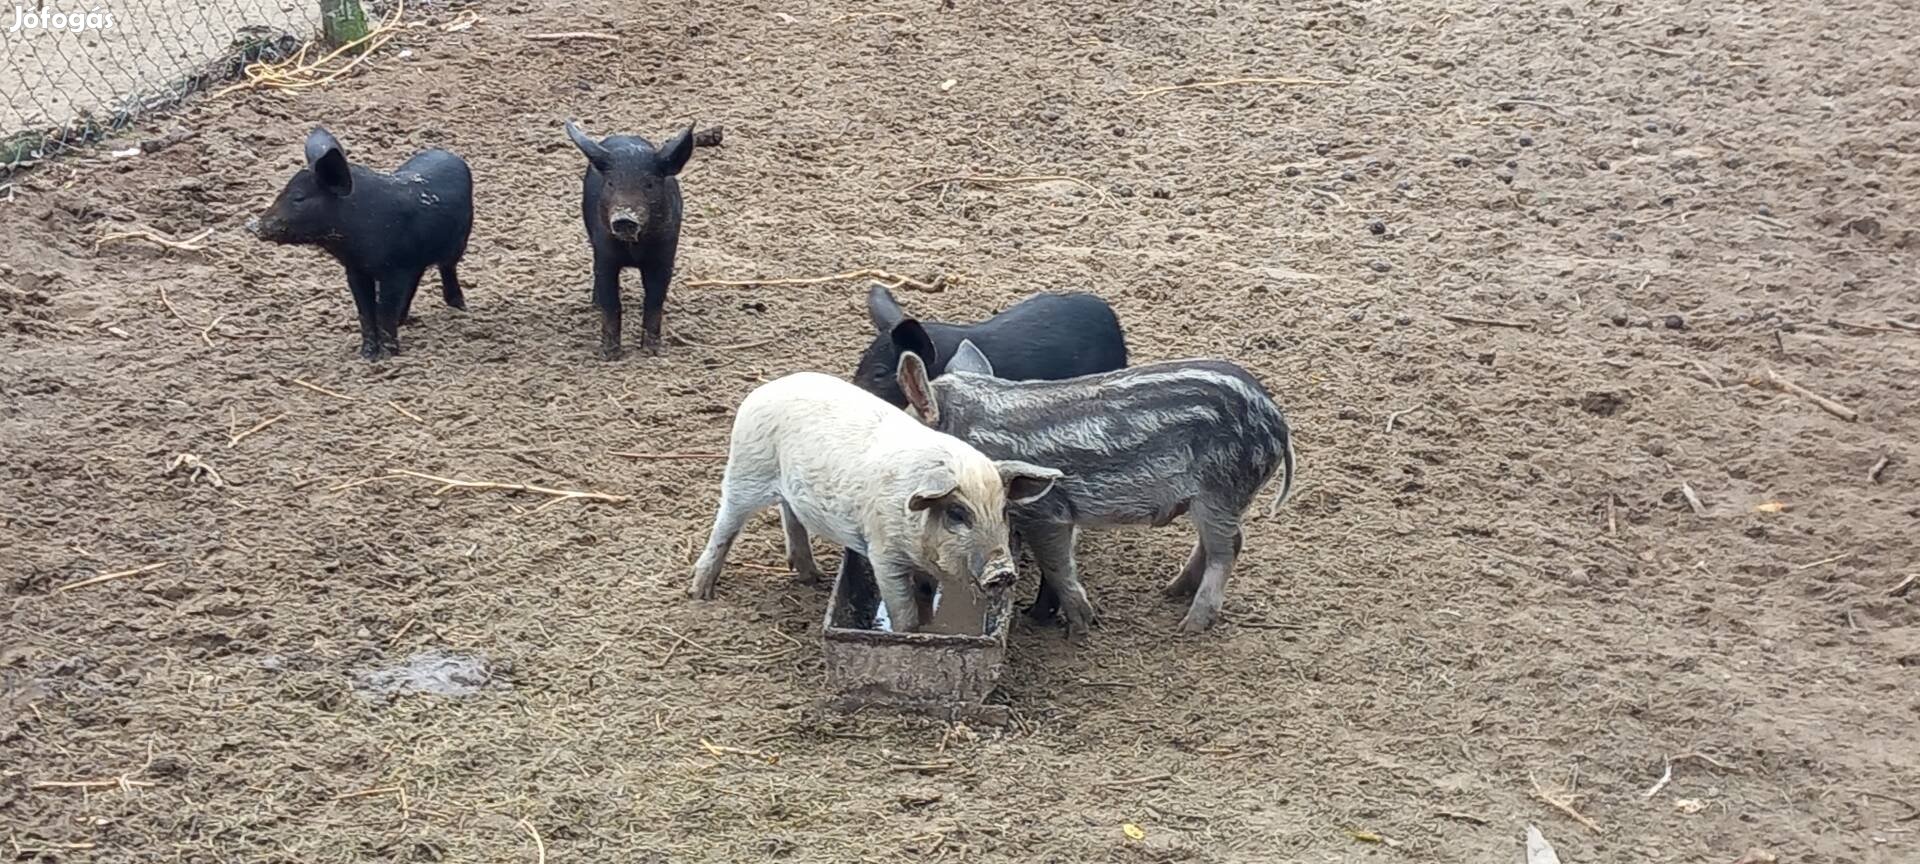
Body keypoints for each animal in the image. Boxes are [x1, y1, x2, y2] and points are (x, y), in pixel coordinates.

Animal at [245, 125, 474, 360]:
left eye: (299, 198)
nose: (252, 226)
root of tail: (448, 153)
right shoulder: (356, 270)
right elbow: (365, 311)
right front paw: (366, 356)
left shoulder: (395, 269)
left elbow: (384, 312)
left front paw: (388, 356)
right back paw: (405, 320)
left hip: (459, 241)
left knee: (447, 268)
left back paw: (459, 307)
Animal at [560, 119, 698, 357]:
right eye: (610, 183)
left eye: (649, 184)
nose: (624, 217)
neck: (634, 251)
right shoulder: (604, 253)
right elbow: (611, 302)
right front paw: (610, 355)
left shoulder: (664, 256)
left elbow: (654, 301)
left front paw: (651, 352)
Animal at [683, 370, 1059, 633]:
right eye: (957, 513)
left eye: (1004, 511)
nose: (1003, 571)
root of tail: (766, 388)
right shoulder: (883, 553)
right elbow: (902, 609)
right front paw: (907, 635)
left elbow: (925, 595)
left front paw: (929, 628)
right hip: (746, 471)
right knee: (726, 525)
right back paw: (700, 594)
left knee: (791, 514)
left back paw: (812, 578)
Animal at [890, 334, 1297, 637]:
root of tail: (1279, 423)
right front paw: (1042, 616)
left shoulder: (1045, 512)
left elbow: (1056, 565)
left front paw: (1080, 628)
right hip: (1209, 499)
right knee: (1216, 544)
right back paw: (1169, 591)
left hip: (1222, 490)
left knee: (1228, 548)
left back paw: (1190, 626)